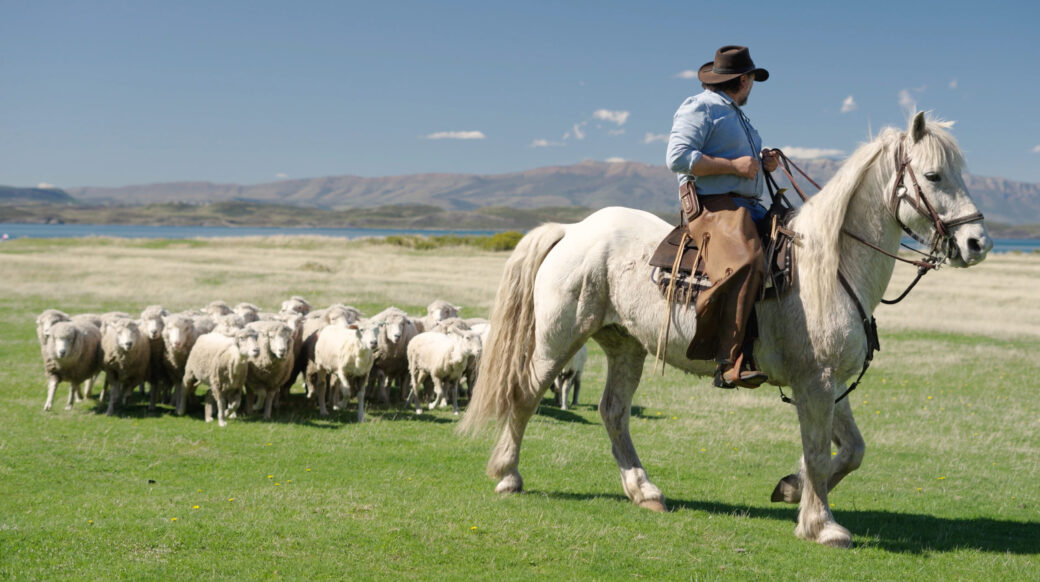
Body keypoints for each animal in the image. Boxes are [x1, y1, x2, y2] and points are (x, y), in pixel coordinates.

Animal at [458, 112, 993, 548]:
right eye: (933, 175)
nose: (977, 242)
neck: (829, 266)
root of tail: (573, 229)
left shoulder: (828, 383)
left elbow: (851, 451)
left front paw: (792, 489)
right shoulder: (816, 384)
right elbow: (820, 453)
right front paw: (822, 526)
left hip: (625, 344)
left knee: (613, 412)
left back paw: (644, 490)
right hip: (558, 338)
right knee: (525, 394)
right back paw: (508, 476)